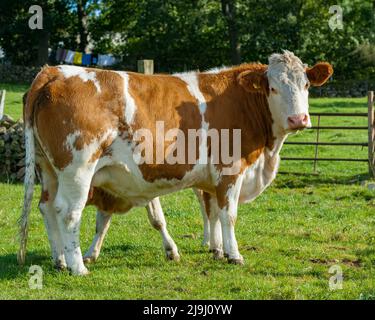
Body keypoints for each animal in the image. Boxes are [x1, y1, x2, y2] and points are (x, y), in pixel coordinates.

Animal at [19, 50, 334, 276]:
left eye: (306, 84)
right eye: (272, 88)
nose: (299, 119)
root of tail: (53, 71)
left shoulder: (210, 178)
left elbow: (212, 212)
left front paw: (216, 250)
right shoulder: (229, 170)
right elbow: (228, 214)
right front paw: (234, 255)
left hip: (48, 169)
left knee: (47, 207)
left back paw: (59, 259)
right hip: (78, 169)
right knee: (68, 212)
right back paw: (77, 267)